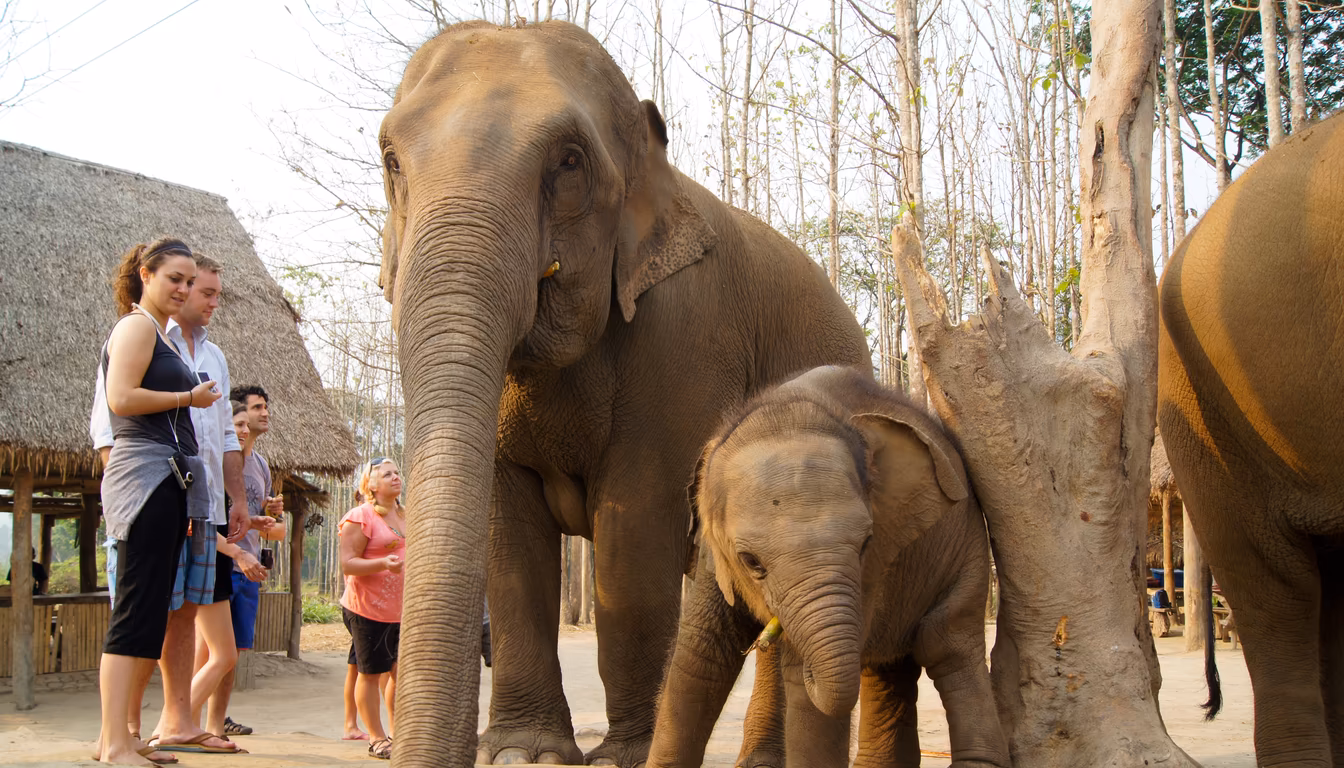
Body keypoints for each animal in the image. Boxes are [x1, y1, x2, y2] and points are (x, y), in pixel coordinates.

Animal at [377, 20, 870, 768]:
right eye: (391, 162)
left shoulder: (686, 335)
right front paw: (523, 753)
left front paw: (621, 756)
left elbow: (633, 534)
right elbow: (508, 539)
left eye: (569, 162)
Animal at [647, 366, 1009, 768]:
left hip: (969, 550)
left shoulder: (875, 565)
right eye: (751, 561)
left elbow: (806, 695)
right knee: (885, 667)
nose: (771, 634)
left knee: (946, 645)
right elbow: (700, 657)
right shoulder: (714, 559)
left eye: (866, 542)